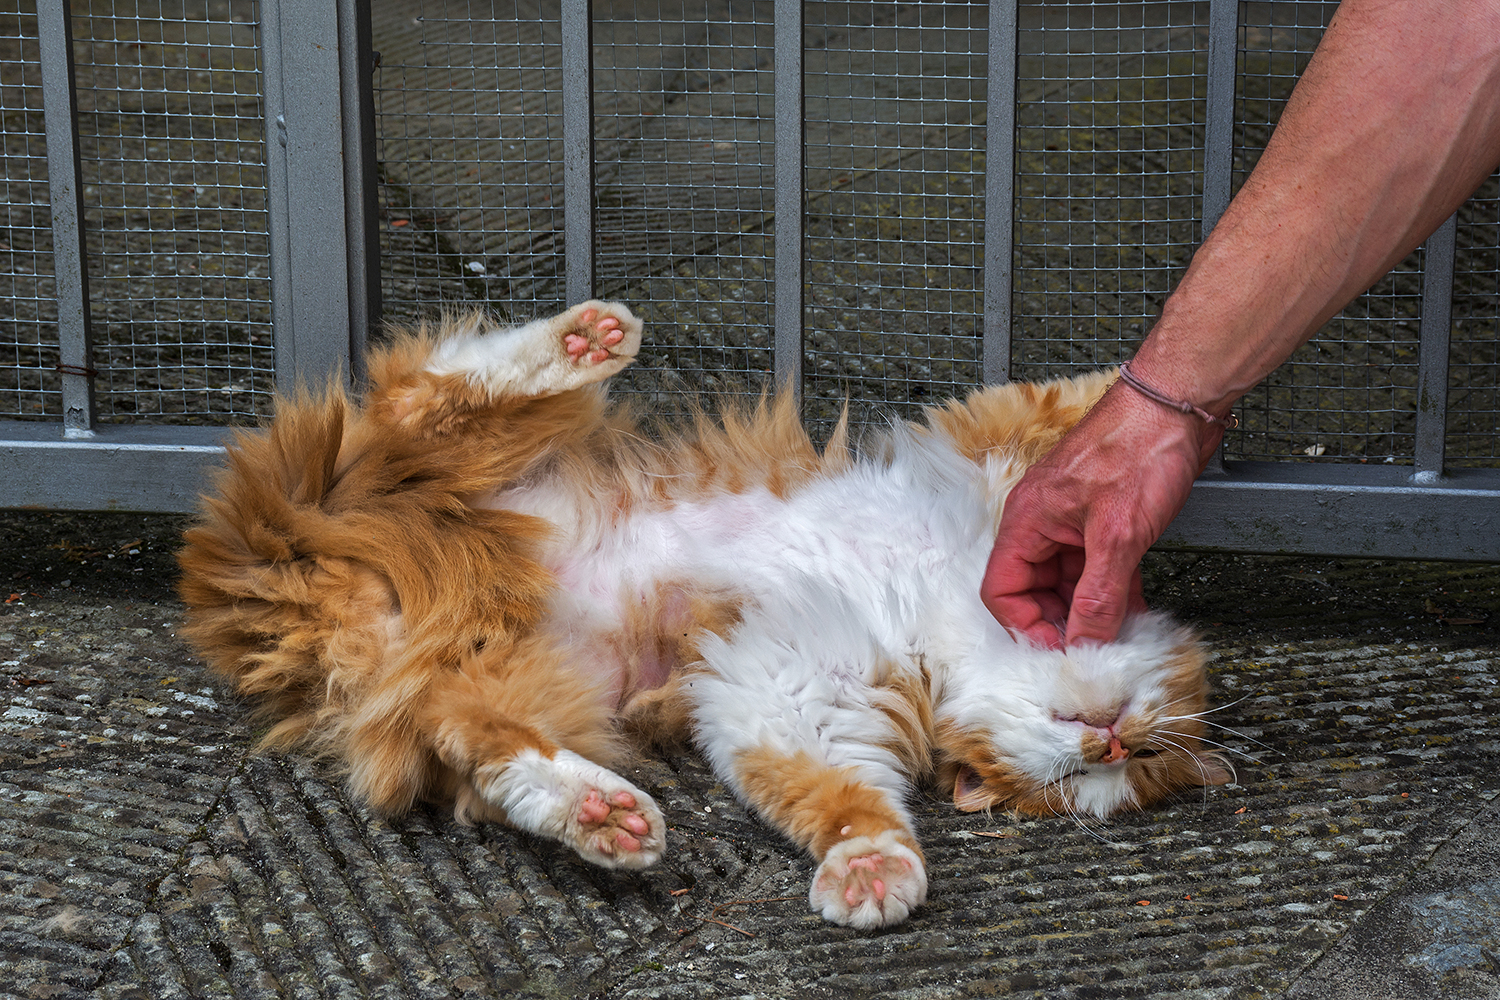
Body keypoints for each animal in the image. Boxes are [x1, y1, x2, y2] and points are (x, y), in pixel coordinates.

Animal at [175, 302, 1230, 929]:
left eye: (1115, 778)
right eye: (1142, 745)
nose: (1107, 740)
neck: (945, 615)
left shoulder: (789, 695)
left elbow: (840, 799)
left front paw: (871, 869)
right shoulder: (993, 463)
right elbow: (1083, 399)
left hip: (466, 684)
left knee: (486, 753)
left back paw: (605, 817)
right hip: (429, 464)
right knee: (431, 398)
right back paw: (583, 341)